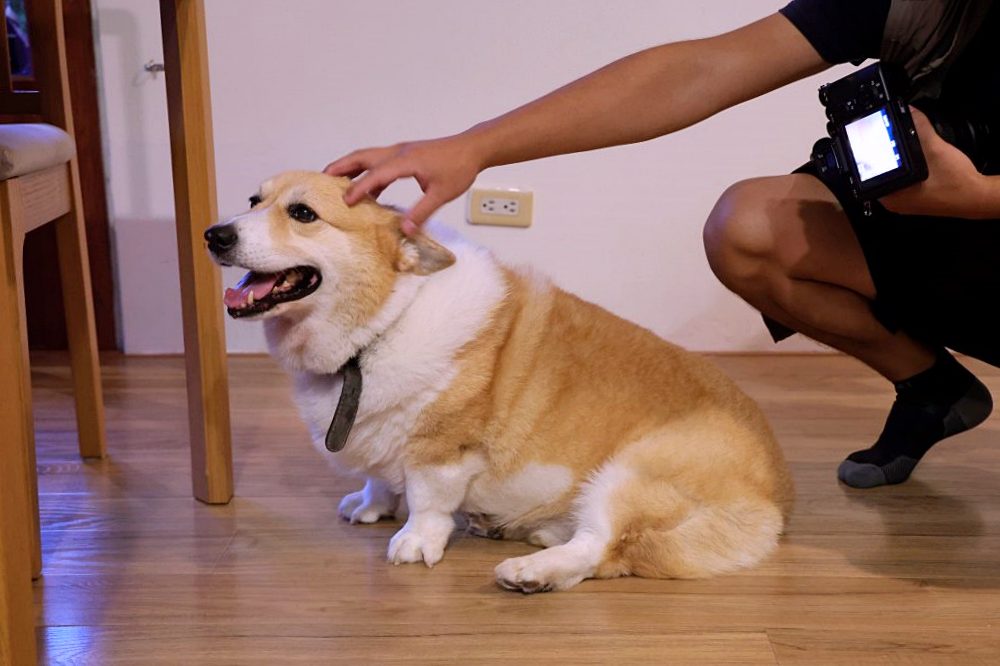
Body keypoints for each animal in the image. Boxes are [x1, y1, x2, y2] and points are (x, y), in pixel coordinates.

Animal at [207, 171, 792, 592]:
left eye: (302, 213)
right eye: (254, 200)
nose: (214, 234)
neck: (382, 323)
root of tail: (775, 499)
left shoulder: (441, 450)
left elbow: (427, 501)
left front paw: (413, 543)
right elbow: (380, 476)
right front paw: (371, 505)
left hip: (628, 473)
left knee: (602, 548)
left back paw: (532, 572)